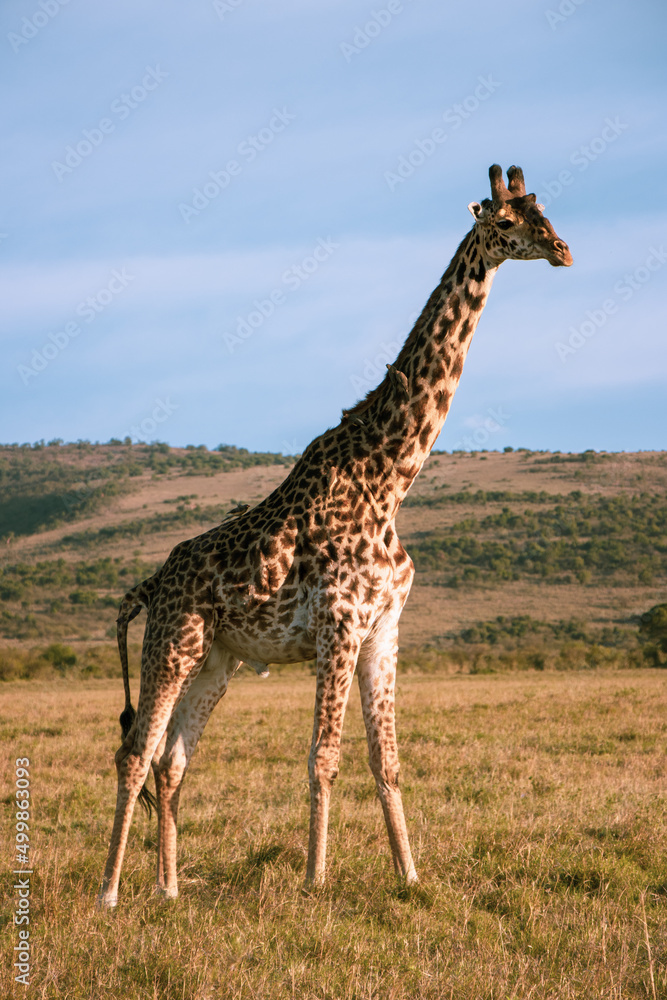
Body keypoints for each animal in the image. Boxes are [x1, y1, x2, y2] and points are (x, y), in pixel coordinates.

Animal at [97, 164, 571, 908]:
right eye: (503, 222)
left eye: (544, 211)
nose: (561, 250)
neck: (391, 475)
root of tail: (148, 584)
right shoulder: (339, 622)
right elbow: (323, 756)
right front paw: (315, 881)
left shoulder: (383, 626)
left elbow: (387, 758)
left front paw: (410, 876)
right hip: (173, 643)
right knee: (134, 753)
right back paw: (111, 893)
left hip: (219, 659)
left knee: (173, 761)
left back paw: (169, 891)